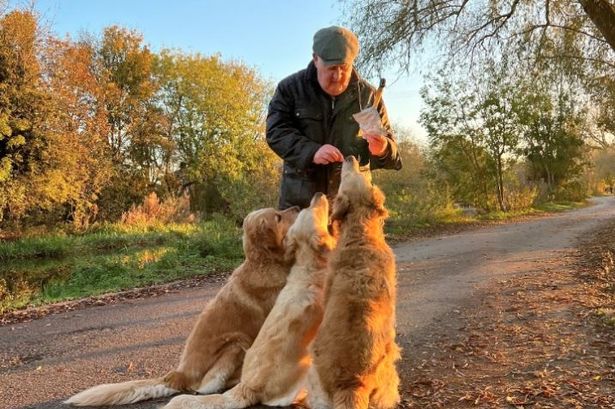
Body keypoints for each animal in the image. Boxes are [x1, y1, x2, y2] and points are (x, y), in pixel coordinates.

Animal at [65, 206, 299, 406]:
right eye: (277, 216)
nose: (297, 207)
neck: (265, 263)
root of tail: (177, 375)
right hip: (235, 343)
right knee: (205, 389)